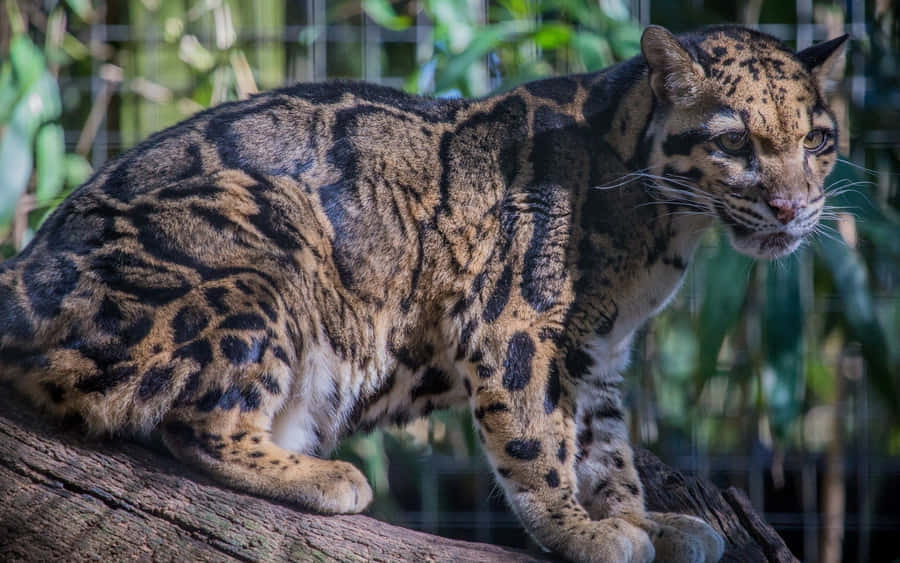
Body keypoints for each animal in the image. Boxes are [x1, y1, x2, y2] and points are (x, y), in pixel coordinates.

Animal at [0, 24, 847, 562]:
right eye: (735, 142)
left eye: (819, 141)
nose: (793, 208)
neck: (669, 221)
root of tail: (23, 268)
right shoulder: (515, 316)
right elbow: (536, 433)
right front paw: (578, 529)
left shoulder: (596, 349)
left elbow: (605, 444)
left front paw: (639, 516)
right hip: (270, 241)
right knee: (195, 423)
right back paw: (322, 474)